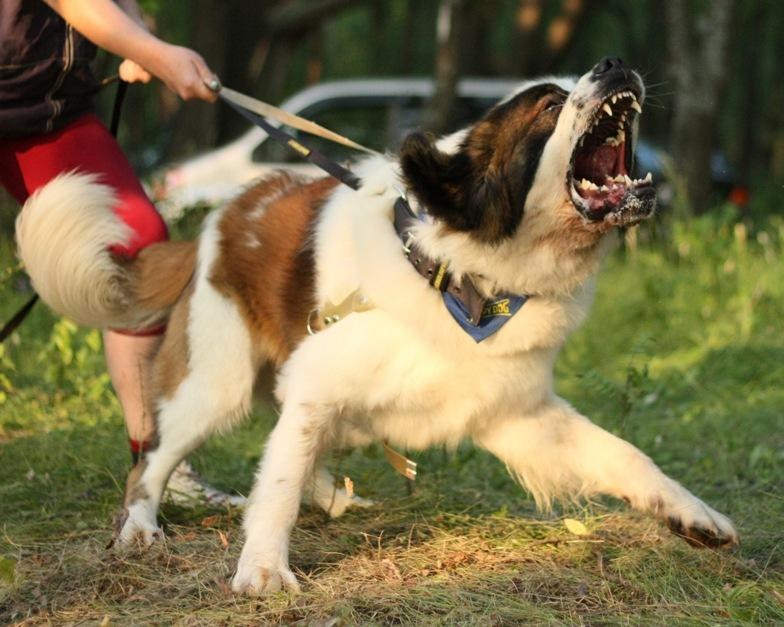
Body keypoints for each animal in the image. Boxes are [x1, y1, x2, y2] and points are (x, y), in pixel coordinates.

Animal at [15, 56, 740, 596]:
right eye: (548, 108)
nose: (615, 62)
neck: (461, 278)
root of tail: (220, 218)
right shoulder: (316, 383)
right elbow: (277, 482)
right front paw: (264, 567)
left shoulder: (520, 414)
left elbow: (625, 453)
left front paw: (693, 514)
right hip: (214, 383)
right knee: (154, 458)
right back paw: (140, 525)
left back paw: (334, 496)